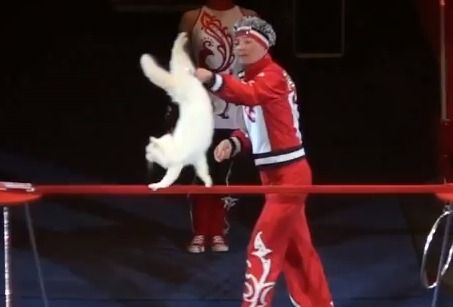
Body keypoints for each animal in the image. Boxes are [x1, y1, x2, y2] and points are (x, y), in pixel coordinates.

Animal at [139, 31, 214, 190]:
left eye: (149, 152)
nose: (146, 157)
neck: (174, 146)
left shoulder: (178, 166)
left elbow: (167, 180)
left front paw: (157, 185)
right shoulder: (199, 158)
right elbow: (203, 171)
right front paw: (208, 182)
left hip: (175, 84)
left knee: (176, 58)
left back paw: (180, 40)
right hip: (184, 74)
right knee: (180, 60)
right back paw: (182, 39)